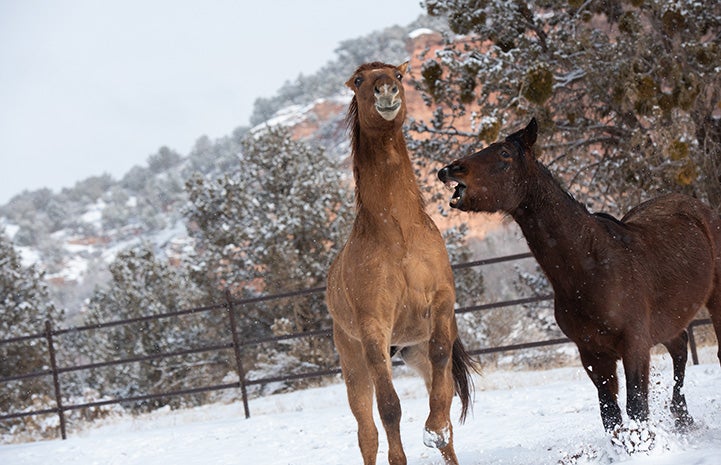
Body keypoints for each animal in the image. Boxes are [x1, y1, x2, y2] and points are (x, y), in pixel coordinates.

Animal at [326, 61, 476, 465]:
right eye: (359, 80)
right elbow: (389, 408)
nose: (386, 91)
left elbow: (442, 376)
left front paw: (434, 428)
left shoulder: (440, 305)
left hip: (413, 351)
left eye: (398, 74)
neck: (398, 235)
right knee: (367, 431)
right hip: (354, 364)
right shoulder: (374, 328)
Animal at [438, 118, 721, 432]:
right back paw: (682, 417)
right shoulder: (592, 354)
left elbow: (636, 407)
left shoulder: (634, 345)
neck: (593, 267)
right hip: (669, 320)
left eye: (504, 154)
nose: (449, 170)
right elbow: (610, 415)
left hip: (714, 299)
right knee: (680, 347)